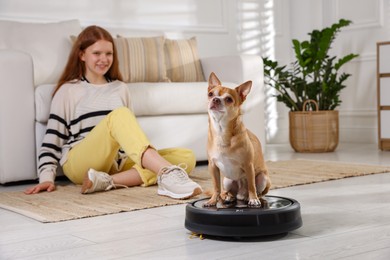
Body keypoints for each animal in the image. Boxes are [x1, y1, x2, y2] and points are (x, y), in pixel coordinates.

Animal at [204, 72, 272, 208]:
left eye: (229, 99)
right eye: (210, 94)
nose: (215, 99)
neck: (221, 130)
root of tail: (241, 193)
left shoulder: (248, 165)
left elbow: (251, 185)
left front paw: (253, 199)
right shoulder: (213, 166)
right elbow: (216, 186)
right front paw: (213, 200)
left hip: (263, 177)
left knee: (257, 190)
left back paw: (252, 198)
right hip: (227, 180)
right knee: (227, 192)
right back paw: (228, 196)